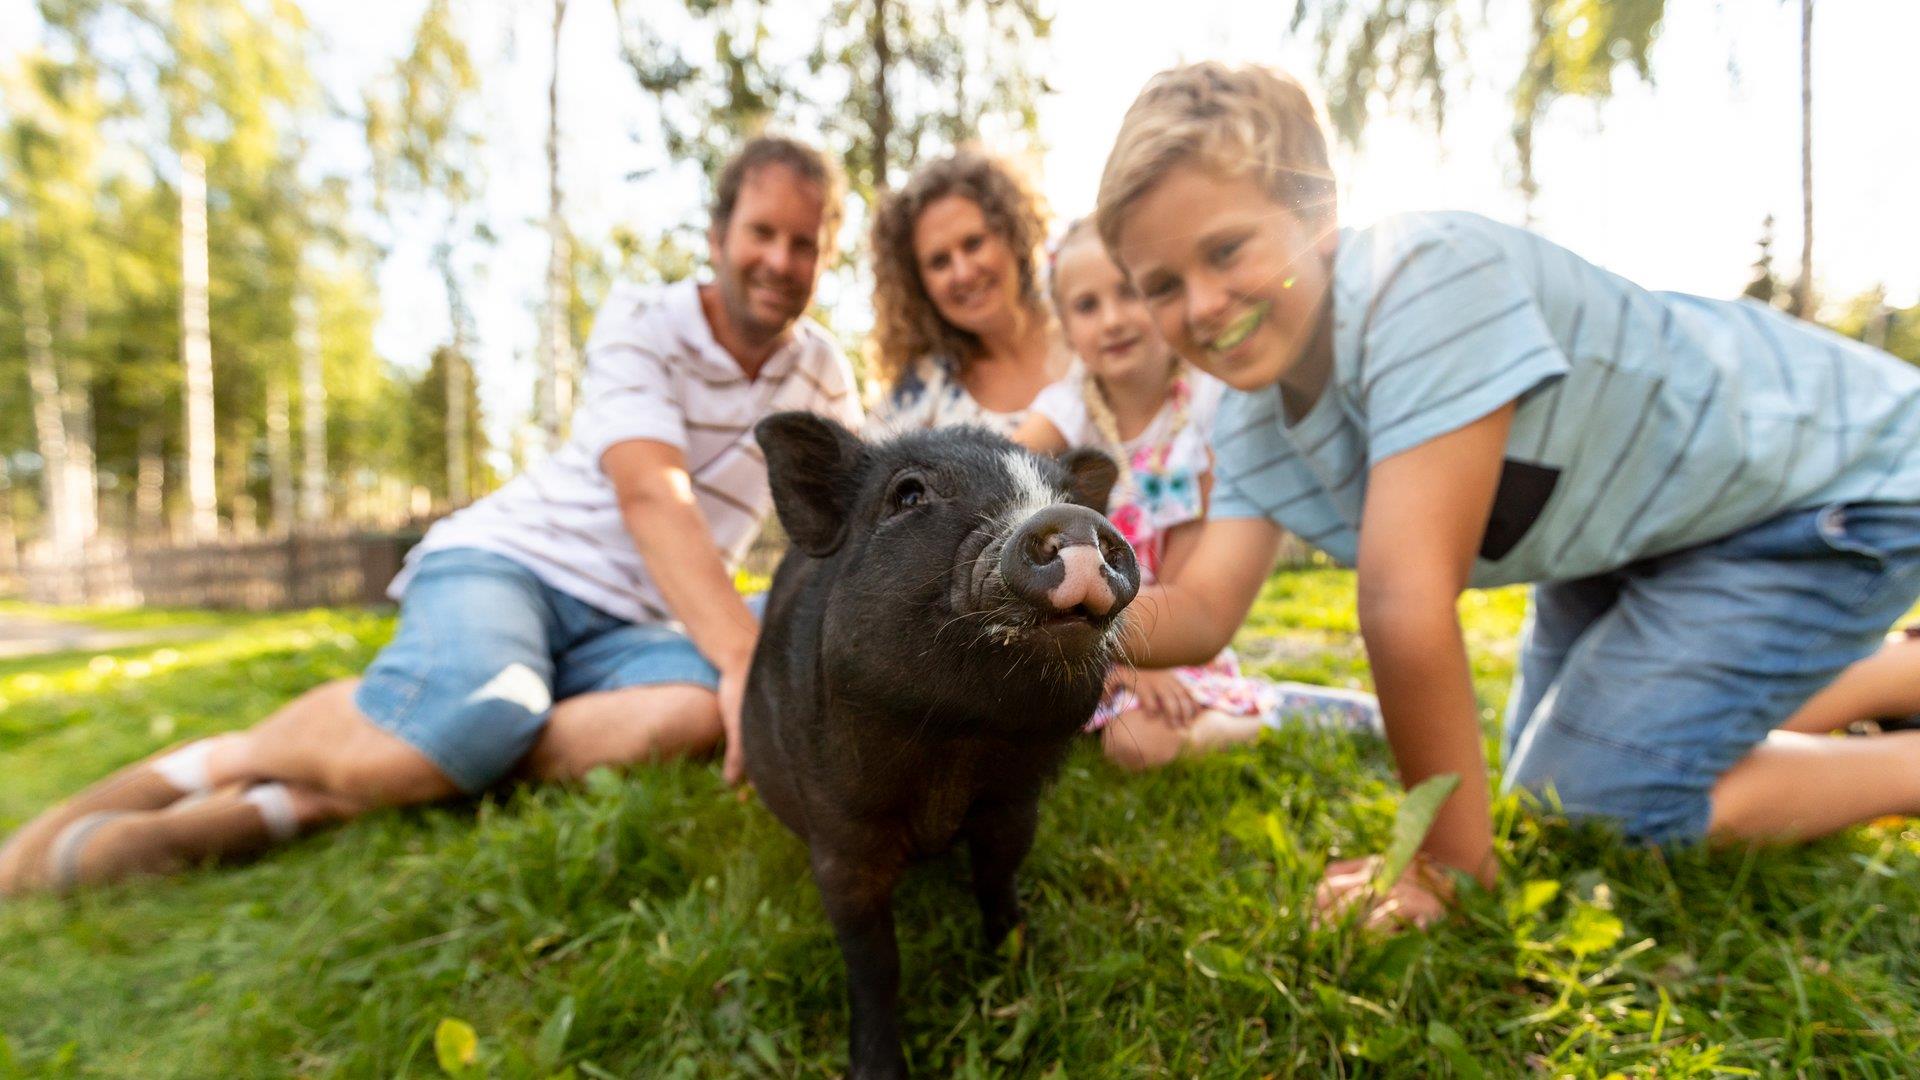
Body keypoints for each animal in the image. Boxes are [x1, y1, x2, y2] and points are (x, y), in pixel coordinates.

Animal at [744, 411, 1136, 1076]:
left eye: (1067, 495)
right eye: (908, 495)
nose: (1077, 520)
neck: (954, 748)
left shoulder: (1014, 804)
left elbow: (999, 882)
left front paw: (1020, 970)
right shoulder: (839, 833)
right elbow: (873, 961)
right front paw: (876, 1069)